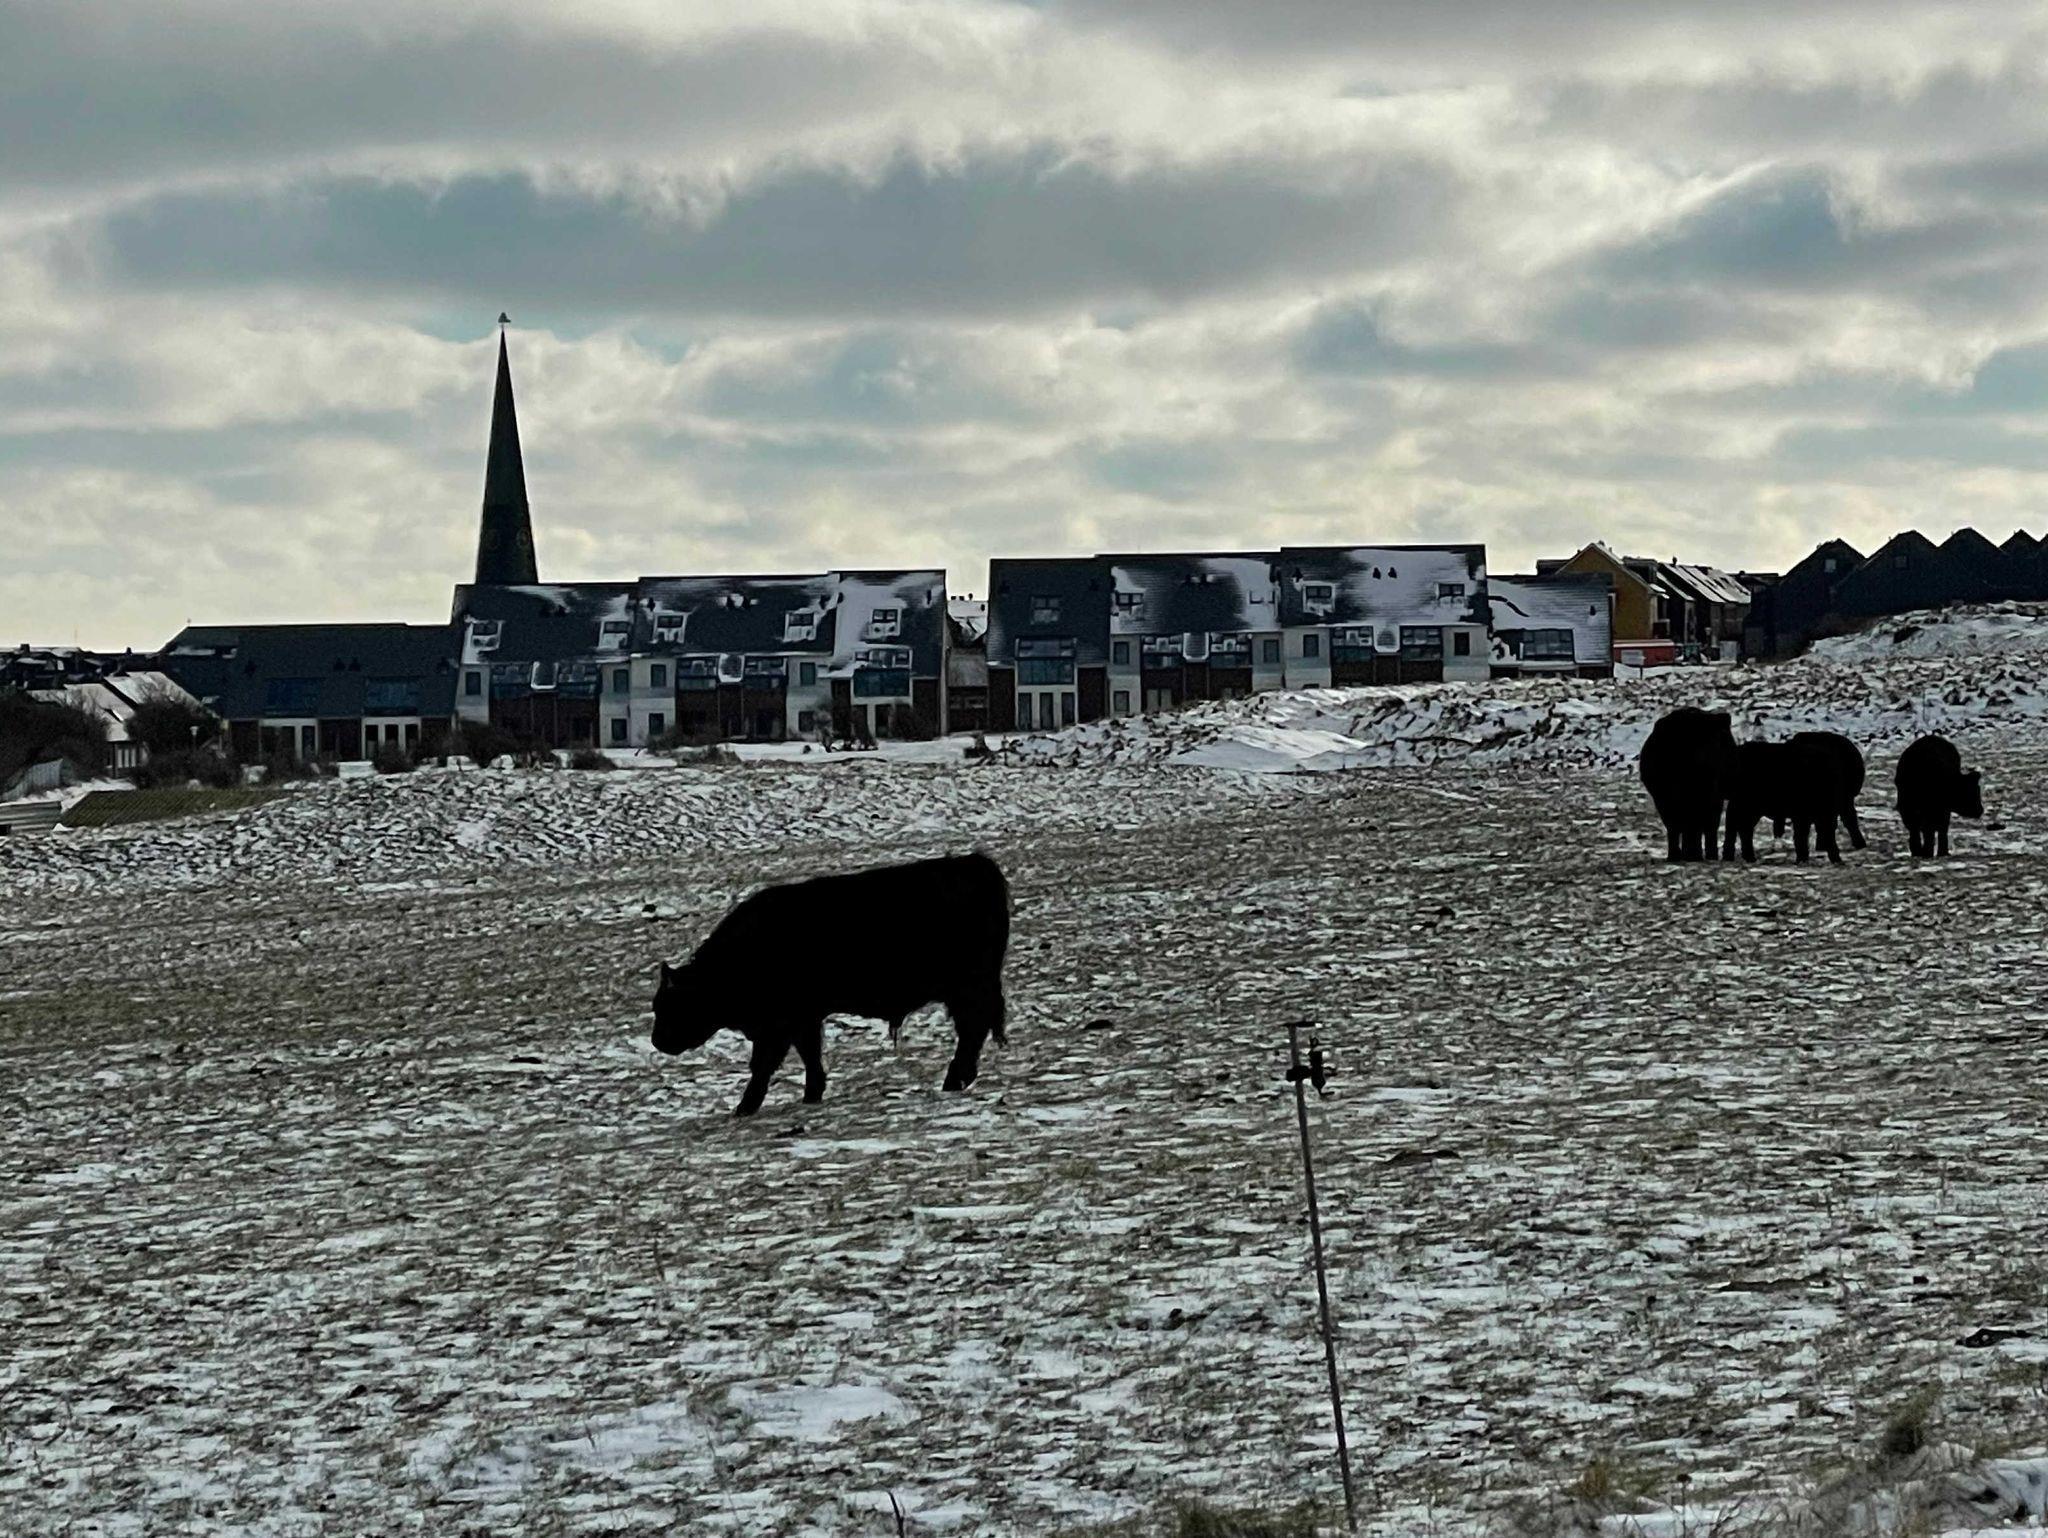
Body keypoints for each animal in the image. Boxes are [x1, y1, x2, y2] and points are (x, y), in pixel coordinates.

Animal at [651, 852, 1011, 1115]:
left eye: (671, 1005)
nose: (657, 1041)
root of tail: (975, 864)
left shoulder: (779, 1024)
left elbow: (765, 1064)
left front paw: (745, 1107)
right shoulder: (803, 1019)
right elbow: (809, 1055)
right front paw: (811, 1093)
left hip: (967, 988)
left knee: (972, 1030)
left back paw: (954, 1080)